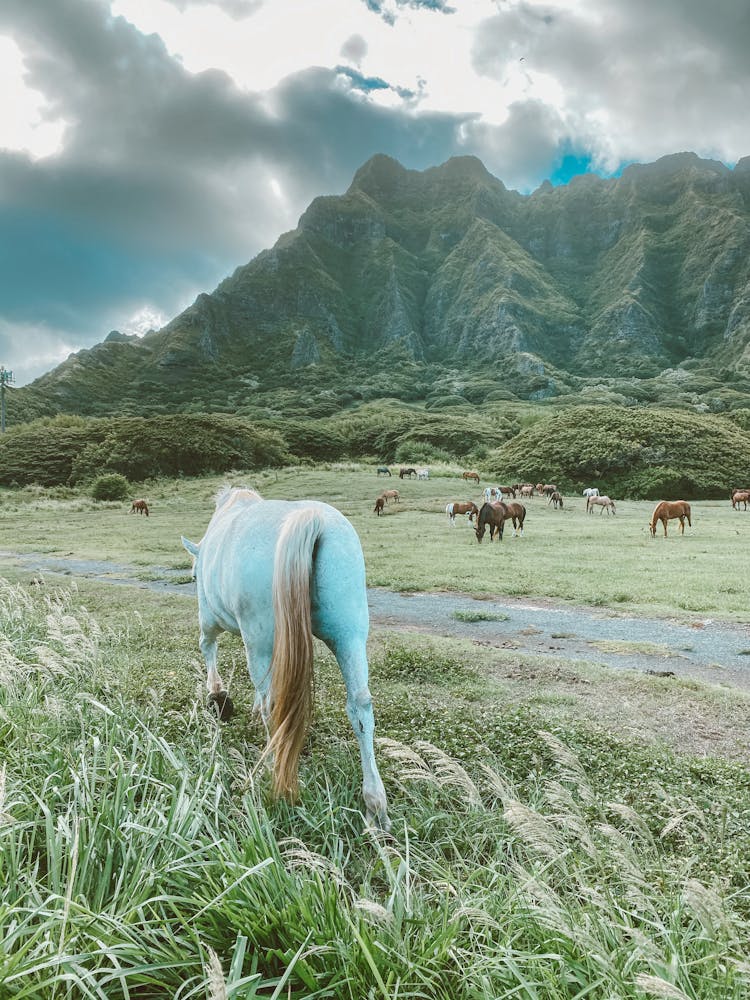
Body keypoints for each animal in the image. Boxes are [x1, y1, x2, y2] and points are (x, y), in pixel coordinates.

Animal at [182, 490, 390, 828]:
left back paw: (272, 767)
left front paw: (217, 695)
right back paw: (375, 804)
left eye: (194, 575)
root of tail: (313, 519)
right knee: (360, 707)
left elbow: (208, 647)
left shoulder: (212, 620)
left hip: (260, 638)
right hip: (349, 636)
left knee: (272, 704)